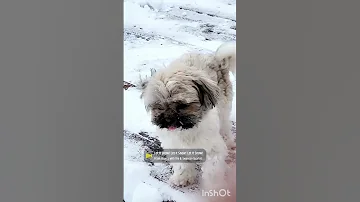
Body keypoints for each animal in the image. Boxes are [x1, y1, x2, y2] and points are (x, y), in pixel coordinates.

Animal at [141, 43, 236, 189]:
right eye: (159, 106)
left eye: (182, 105)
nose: (168, 119)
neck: (187, 130)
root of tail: (216, 59)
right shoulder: (175, 146)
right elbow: (182, 165)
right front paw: (182, 178)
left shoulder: (213, 149)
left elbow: (212, 171)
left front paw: (213, 188)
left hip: (224, 107)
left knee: (225, 124)